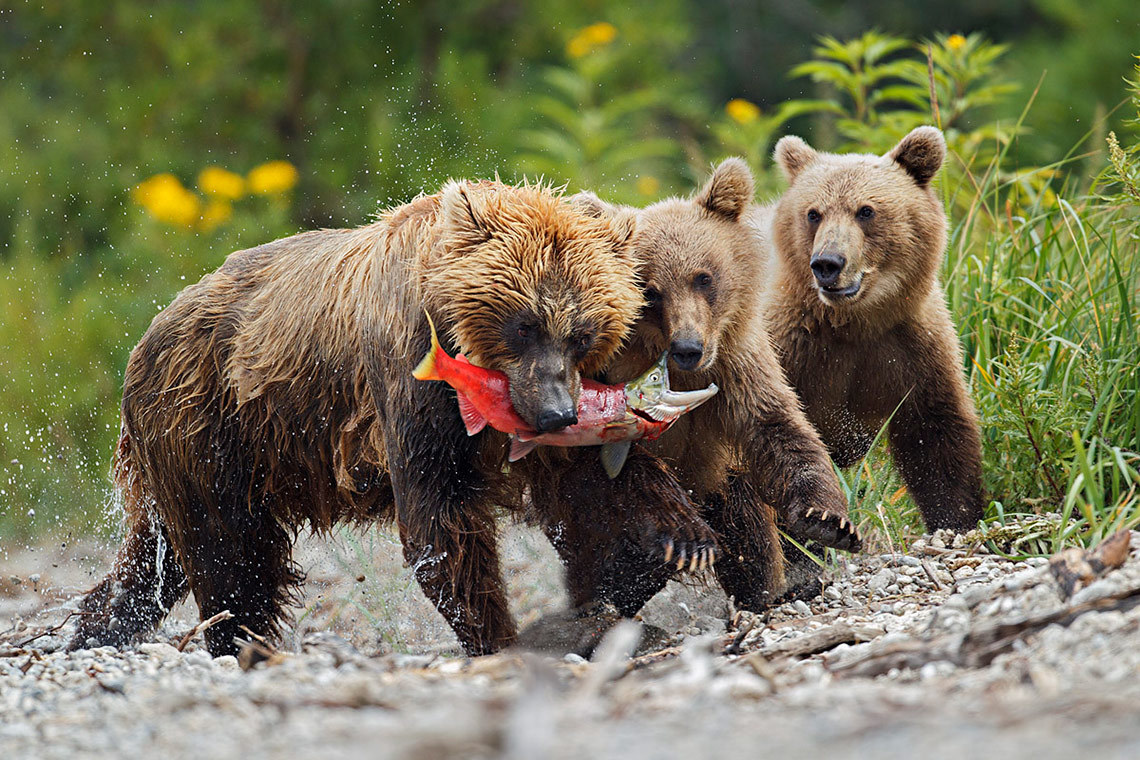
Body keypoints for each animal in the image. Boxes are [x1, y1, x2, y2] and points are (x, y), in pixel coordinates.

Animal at [66, 180, 715, 660]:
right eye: (523, 323)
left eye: (581, 331)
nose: (555, 412)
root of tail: (149, 332)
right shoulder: (411, 379)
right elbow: (440, 514)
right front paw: (498, 634)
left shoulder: (553, 409)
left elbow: (599, 474)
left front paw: (683, 542)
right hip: (211, 418)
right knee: (228, 549)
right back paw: (235, 640)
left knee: (158, 553)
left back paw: (95, 624)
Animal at [766, 127, 989, 533]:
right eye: (813, 213)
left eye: (866, 210)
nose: (827, 263)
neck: (854, 322)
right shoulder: (792, 346)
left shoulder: (912, 348)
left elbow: (938, 436)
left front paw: (957, 520)